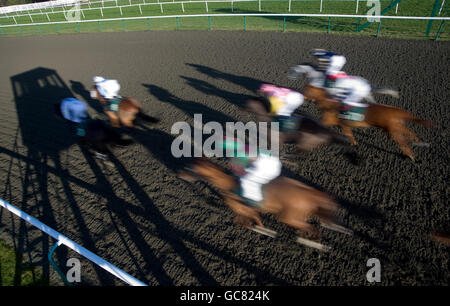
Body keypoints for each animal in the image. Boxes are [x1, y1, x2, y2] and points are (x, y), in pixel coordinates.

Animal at [179, 159, 352, 250]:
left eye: (190, 168)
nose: (181, 174)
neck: (229, 184)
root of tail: (311, 195)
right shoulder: (243, 210)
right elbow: (246, 221)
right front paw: (262, 228)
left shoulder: (243, 207)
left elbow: (252, 219)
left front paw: (264, 230)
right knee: (312, 227)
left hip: (288, 216)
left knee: (312, 228)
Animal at [288, 63, 432, 161]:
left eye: (305, 90)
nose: (300, 95)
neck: (329, 103)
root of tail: (394, 110)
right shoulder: (344, 125)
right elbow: (349, 136)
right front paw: (353, 144)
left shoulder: (328, 121)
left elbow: (318, 125)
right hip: (394, 126)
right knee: (409, 132)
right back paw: (418, 141)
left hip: (392, 130)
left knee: (403, 141)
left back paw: (411, 154)